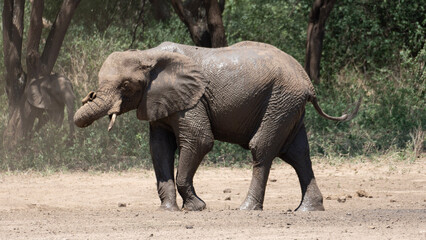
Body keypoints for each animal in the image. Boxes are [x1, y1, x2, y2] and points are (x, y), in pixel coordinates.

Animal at [73, 41, 360, 212]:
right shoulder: (159, 101)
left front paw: (197, 207)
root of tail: (308, 81)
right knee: (298, 153)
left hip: (281, 100)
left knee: (262, 148)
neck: (148, 54)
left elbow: (199, 140)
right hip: (289, 105)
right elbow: (159, 148)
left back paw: (247, 209)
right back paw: (308, 210)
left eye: (125, 86)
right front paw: (168, 210)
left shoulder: (193, 100)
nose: (88, 97)